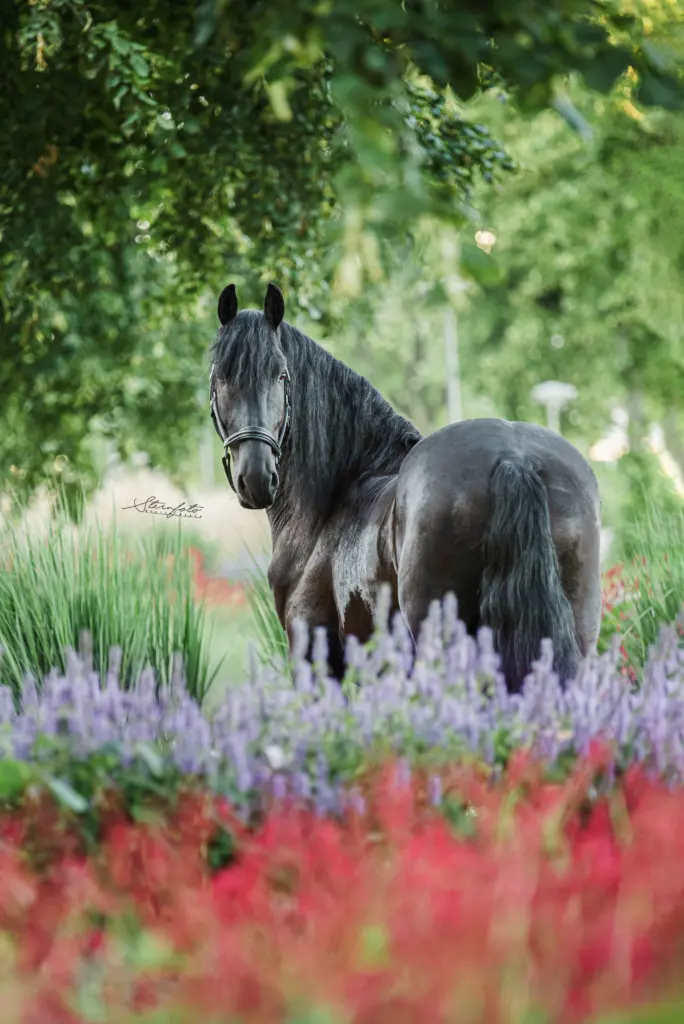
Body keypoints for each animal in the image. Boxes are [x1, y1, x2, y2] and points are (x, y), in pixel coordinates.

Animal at [210, 284, 602, 692]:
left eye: (282, 375)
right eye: (220, 376)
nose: (256, 477)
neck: (335, 497)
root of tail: (513, 458)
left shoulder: (317, 660)